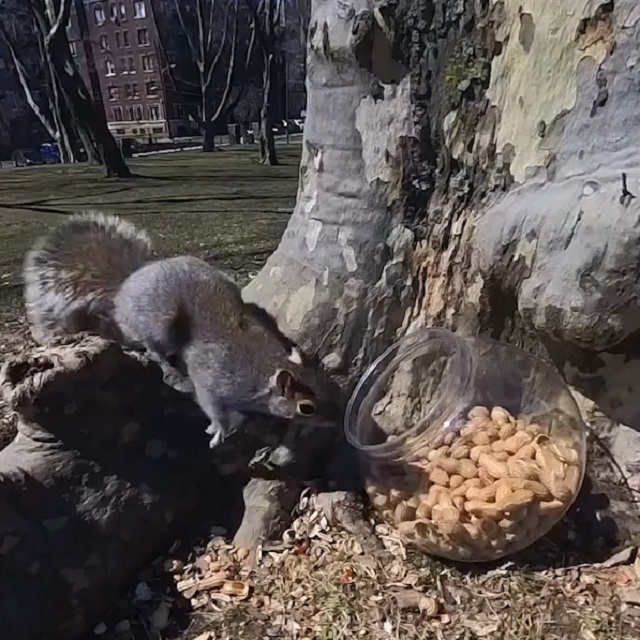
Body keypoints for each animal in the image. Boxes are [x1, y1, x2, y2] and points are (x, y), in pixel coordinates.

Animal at [23, 212, 325, 448]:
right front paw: (220, 429)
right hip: (160, 323)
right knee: (152, 345)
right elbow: (211, 403)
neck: (262, 366)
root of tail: (125, 287)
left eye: (321, 381)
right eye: (306, 408)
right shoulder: (214, 379)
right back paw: (167, 366)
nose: (332, 420)